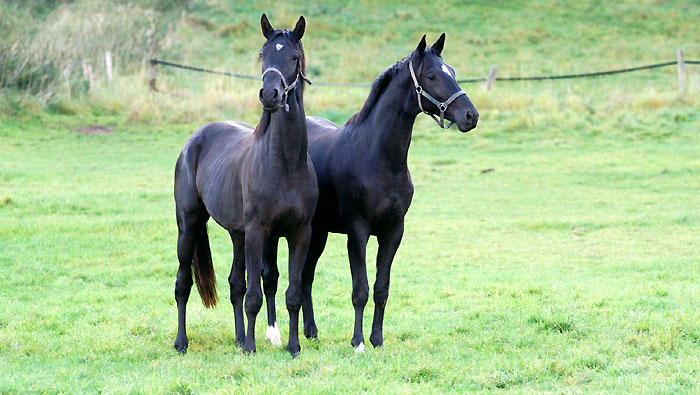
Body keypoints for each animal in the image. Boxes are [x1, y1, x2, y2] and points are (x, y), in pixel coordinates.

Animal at [172, 13, 318, 358]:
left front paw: (293, 346)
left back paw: (238, 337)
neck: (285, 164)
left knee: (235, 284)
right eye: (263, 54)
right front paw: (252, 346)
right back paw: (182, 342)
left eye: (294, 57)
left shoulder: (299, 234)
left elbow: (292, 293)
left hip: (236, 235)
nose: (270, 95)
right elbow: (255, 295)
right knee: (183, 283)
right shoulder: (257, 232)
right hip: (189, 224)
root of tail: (193, 141)